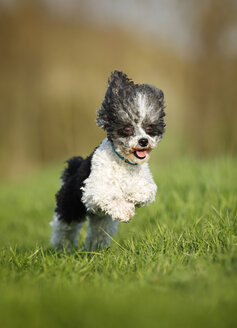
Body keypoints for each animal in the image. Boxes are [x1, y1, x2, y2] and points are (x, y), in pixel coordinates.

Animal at [50, 70, 166, 251]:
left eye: (149, 128)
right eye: (127, 128)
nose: (143, 141)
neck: (123, 162)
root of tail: (72, 169)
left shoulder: (145, 183)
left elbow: (142, 190)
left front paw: (130, 196)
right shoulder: (94, 189)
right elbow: (112, 196)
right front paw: (126, 209)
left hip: (102, 220)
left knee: (97, 233)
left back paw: (94, 250)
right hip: (69, 206)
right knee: (63, 229)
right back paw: (62, 248)